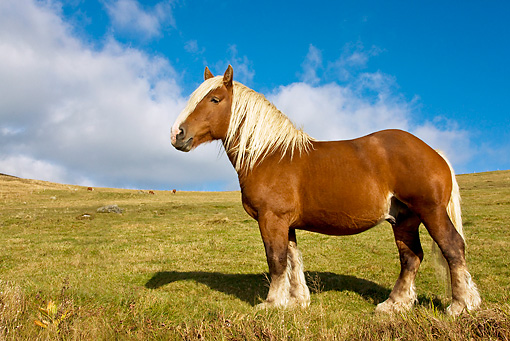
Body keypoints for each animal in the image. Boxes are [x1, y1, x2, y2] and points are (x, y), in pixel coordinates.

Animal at [171, 65, 482, 314]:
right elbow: (293, 260)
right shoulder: (286, 224)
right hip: (404, 220)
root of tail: (434, 152)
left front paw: (271, 303)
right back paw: (394, 304)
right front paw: (296, 301)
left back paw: (460, 305)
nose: (177, 134)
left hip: (431, 212)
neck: (270, 154)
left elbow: (276, 260)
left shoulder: (271, 219)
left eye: (214, 99)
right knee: (411, 258)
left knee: (452, 248)